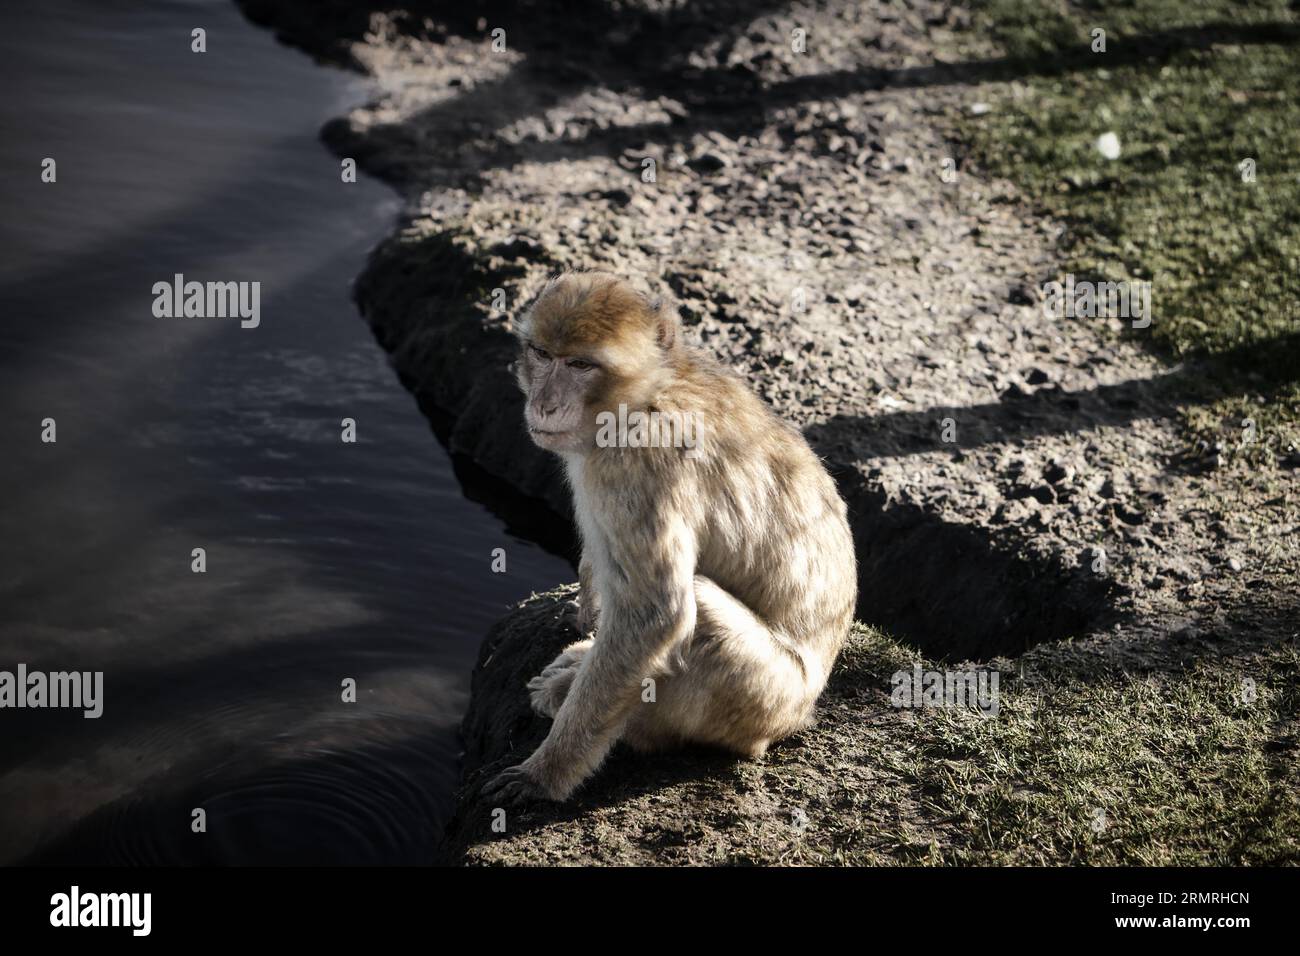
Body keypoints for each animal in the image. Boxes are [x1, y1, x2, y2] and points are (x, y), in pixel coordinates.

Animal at [483, 273, 857, 806]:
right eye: (541, 353)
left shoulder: (639, 462)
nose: (543, 403)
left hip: (762, 698)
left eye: (580, 365)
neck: (644, 394)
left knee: (699, 614)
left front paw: (545, 774)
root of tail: (801, 714)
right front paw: (586, 610)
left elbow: (655, 617)